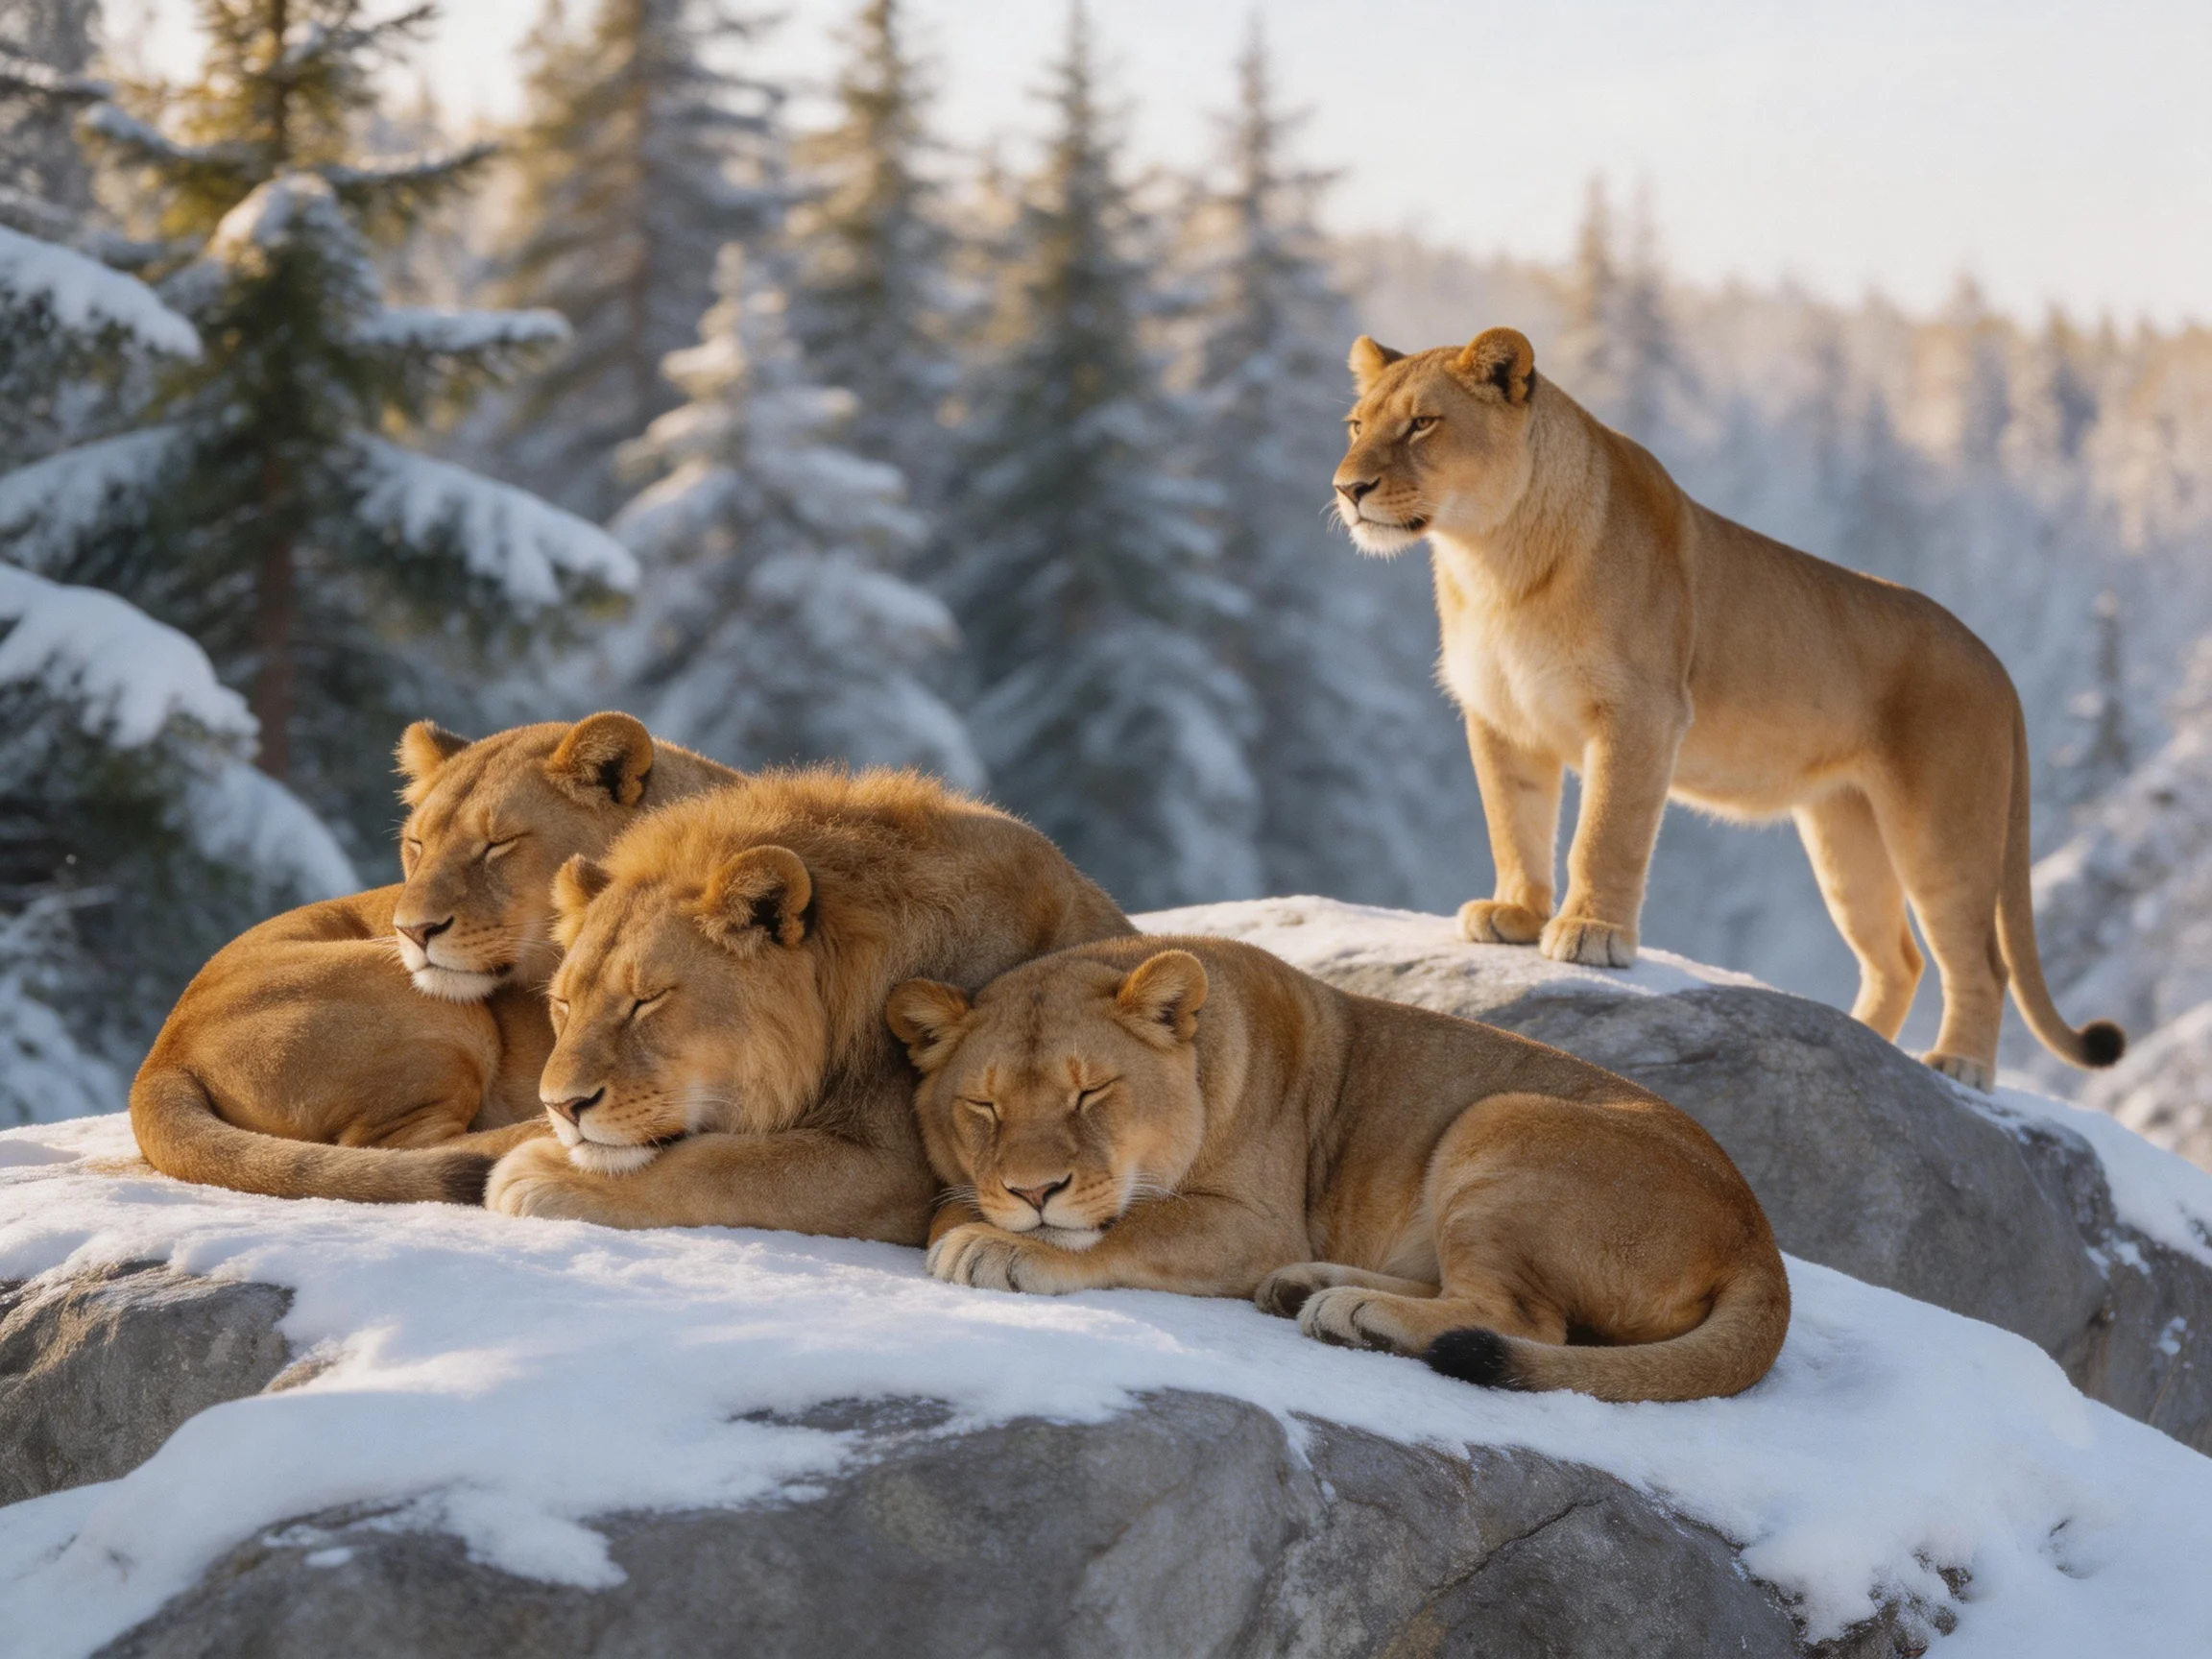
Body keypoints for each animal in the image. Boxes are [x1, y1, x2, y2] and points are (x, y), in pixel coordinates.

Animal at [128, 714, 735, 1204]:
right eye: (416, 844)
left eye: (498, 844)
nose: (411, 930)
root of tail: (161, 1054)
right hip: (432, 1012)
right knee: (405, 1149)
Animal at [482, 768, 1134, 1241]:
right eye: (564, 1004)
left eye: (648, 1000)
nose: (563, 1106)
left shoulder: (902, 1169)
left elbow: (725, 1167)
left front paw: (535, 1175)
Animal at [887, 934, 1790, 1403]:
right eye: (984, 1106)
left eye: (1091, 1092)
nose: (1034, 1191)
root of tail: (1762, 1244)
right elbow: (951, 1204)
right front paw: (985, 1219)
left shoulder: (1255, 1223)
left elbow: (1132, 1222)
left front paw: (1004, 1247)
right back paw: (1310, 1287)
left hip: (1498, 1118)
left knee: (1521, 1320)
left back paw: (1354, 1313)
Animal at [1331, 326, 2123, 1091]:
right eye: (1357, 424)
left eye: (1423, 424)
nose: (1347, 487)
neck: (1493, 561)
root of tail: (1997, 665)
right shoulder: (1502, 719)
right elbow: (1514, 825)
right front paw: (1516, 916)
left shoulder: (1642, 712)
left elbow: (1605, 832)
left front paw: (1591, 935)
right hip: (1846, 835)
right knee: (1898, 958)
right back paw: (1863, 1043)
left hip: (1941, 827)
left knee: (1979, 962)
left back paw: (1959, 1066)